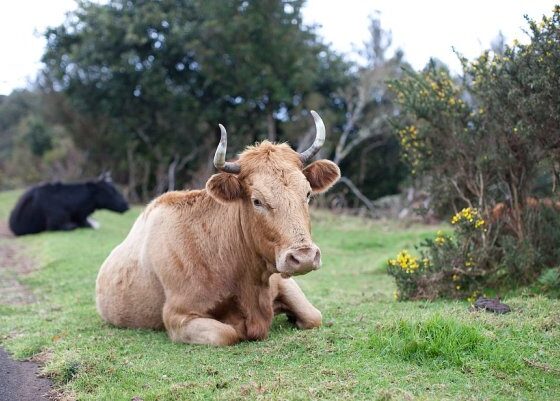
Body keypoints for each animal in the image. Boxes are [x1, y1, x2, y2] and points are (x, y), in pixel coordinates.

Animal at [95, 111, 342, 346]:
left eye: (307, 193)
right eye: (257, 201)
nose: (305, 257)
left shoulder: (283, 282)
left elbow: (313, 316)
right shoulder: (177, 316)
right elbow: (227, 334)